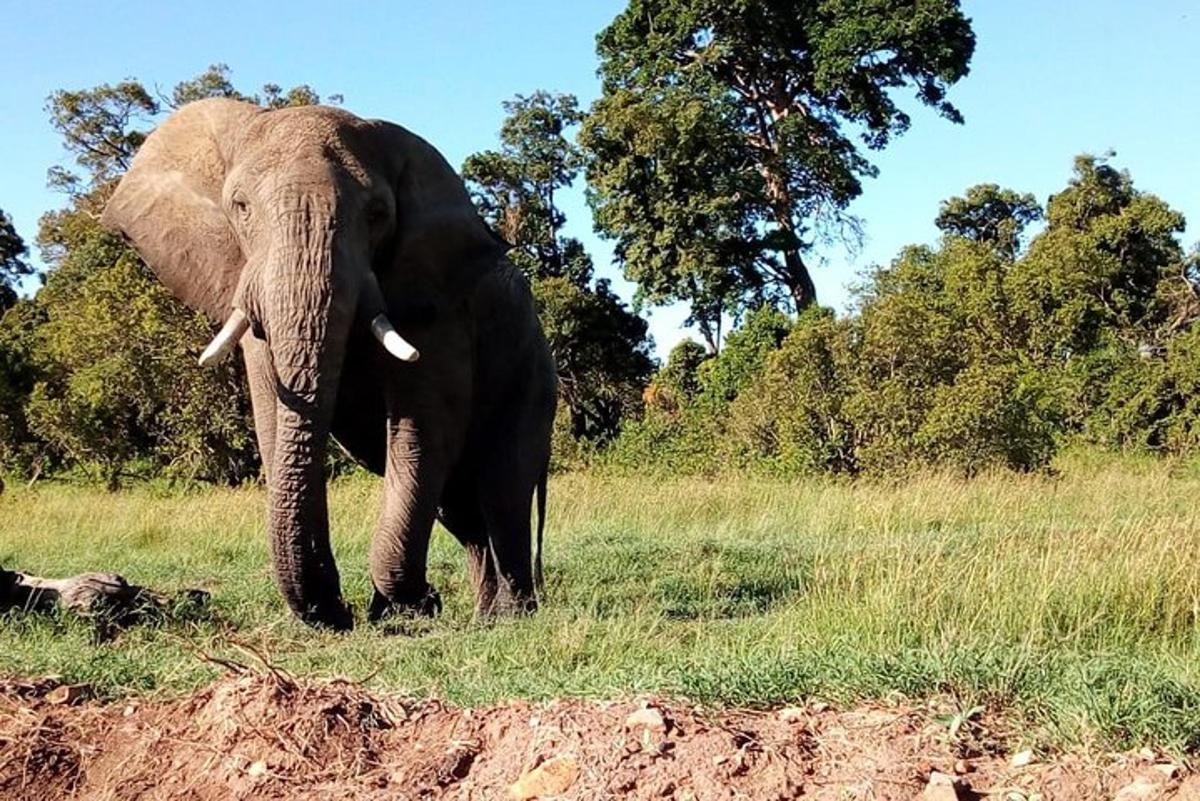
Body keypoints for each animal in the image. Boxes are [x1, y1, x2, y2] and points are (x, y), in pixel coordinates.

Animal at [99, 97, 556, 628]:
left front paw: (408, 610)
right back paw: (484, 615)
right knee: (462, 510)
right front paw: (392, 612)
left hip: (533, 377)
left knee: (502, 490)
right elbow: (276, 424)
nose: (342, 612)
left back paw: (512, 617)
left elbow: (422, 430)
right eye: (240, 206)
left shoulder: (436, 306)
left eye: (378, 214)